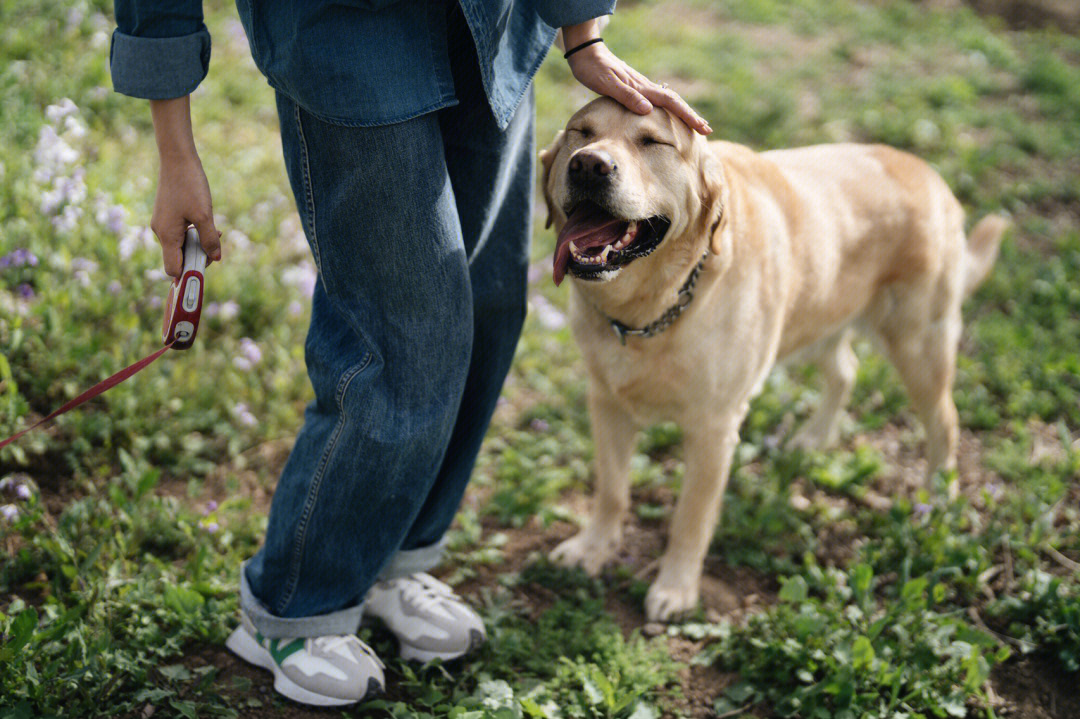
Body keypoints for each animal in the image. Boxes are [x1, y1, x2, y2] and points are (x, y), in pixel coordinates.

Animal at [544, 96, 1006, 621]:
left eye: (653, 141)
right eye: (581, 133)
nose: (588, 165)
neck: (648, 309)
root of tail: (930, 174)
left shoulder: (714, 430)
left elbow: (691, 518)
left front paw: (677, 588)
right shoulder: (606, 404)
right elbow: (612, 491)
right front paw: (593, 548)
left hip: (918, 345)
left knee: (945, 422)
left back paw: (939, 503)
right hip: (819, 316)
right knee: (846, 372)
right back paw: (812, 440)